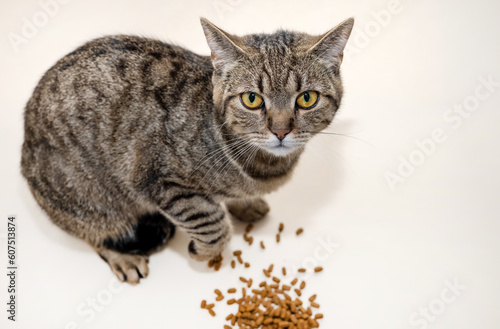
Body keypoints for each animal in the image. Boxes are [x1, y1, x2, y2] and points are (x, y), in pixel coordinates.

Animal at [21, 17, 354, 282]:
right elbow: (212, 224)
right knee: (95, 232)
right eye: (252, 99)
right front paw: (203, 251)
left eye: (307, 98)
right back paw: (123, 256)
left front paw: (244, 204)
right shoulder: (161, 181)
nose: (281, 130)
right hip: (91, 199)